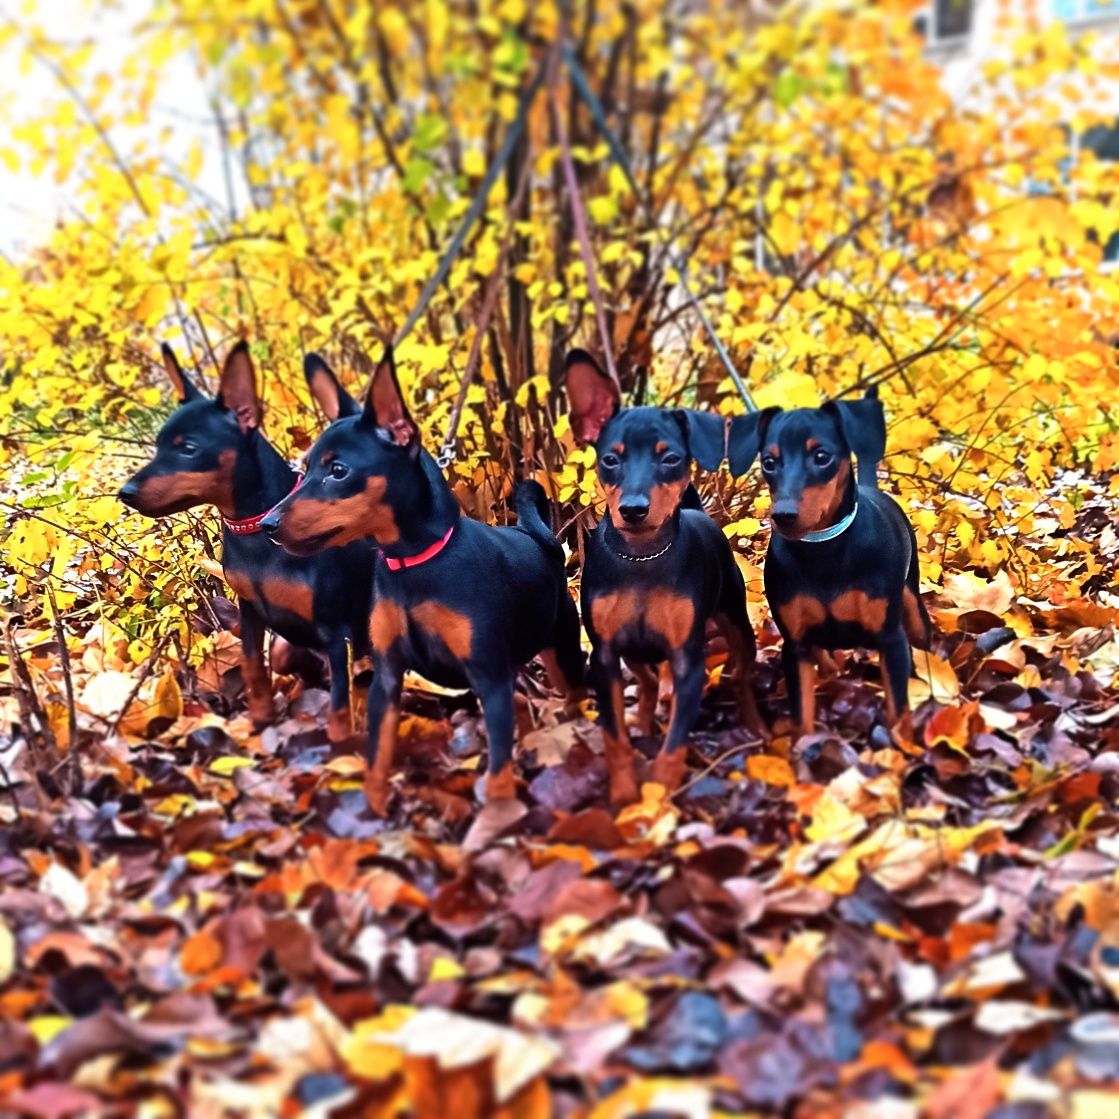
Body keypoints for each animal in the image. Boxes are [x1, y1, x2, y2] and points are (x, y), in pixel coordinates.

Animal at [120, 344, 375, 738]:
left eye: (188, 448)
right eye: (159, 445)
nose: (125, 493)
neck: (255, 531)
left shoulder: (336, 633)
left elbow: (339, 701)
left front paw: (340, 743)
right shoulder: (250, 608)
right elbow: (253, 662)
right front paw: (260, 718)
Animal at [257, 344, 581, 810]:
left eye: (338, 471)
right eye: (302, 469)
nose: (267, 523)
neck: (415, 564)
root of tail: (538, 540)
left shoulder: (488, 676)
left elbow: (498, 771)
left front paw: (498, 814)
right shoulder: (389, 677)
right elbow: (378, 755)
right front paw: (372, 809)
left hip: (560, 651)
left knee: (576, 693)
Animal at [563, 349, 765, 805]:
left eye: (670, 458)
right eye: (610, 459)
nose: (633, 509)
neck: (642, 558)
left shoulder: (688, 660)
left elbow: (676, 741)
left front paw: (658, 796)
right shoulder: (604, 655)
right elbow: (614, 735)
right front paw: (624, 792)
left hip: (736, 623)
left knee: (743, 676)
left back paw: (754, 724)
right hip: (634, 649)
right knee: (649, 681)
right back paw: (644, 719)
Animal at [725, 389, 926, 738]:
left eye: (822, 457)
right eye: (769, 463)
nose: (783, 516)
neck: (823, 550)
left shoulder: (891, 639)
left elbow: (898, 709)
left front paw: (902, 749)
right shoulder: (795, 646)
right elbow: (802, 717)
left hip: (912, 605)